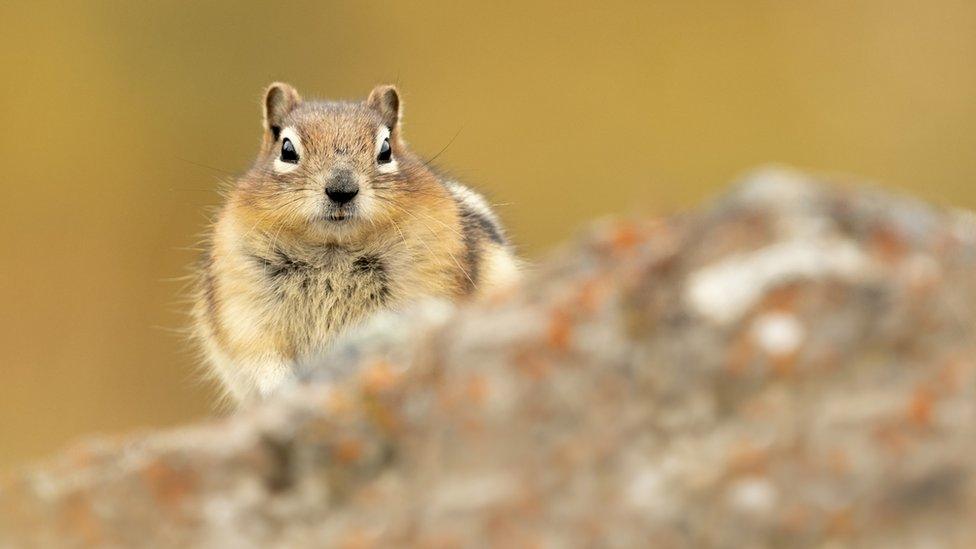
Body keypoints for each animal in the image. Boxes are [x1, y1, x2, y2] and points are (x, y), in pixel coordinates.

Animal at [193, 83, 524, 404]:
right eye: (287, 150)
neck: (333, 250)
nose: (342, 189)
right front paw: (280, 386)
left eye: (386, 150)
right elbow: (260, 354)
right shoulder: (245, 303)